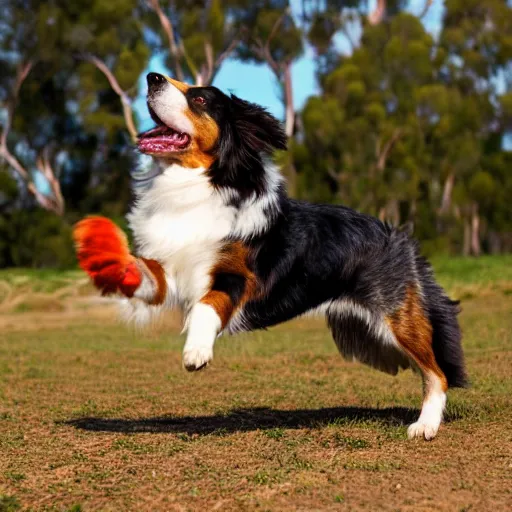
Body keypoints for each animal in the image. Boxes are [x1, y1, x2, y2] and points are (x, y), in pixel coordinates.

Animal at [74, 72, 466, 440]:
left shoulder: (237, 276)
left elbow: (206, 305)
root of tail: (401, 238)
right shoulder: (169, 273)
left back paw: (425, 425)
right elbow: (142, 273)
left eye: (199, 98)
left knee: (437, 372)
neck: (198, 184)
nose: (152, 77)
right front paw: (103, 256)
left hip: (396, 320)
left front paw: (196, 351)